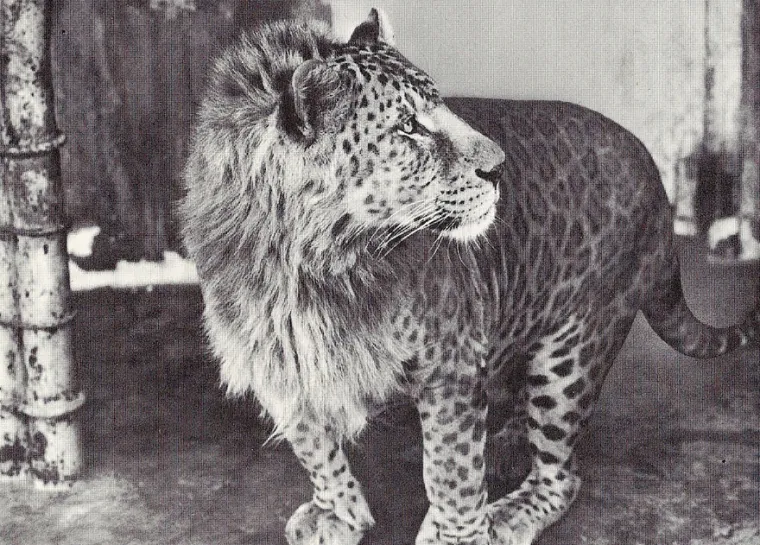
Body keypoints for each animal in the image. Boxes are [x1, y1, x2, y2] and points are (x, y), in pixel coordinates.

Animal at [180, 10, 760, 545]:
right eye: (408, 127)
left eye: (442, 108)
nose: (499, 168)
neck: (315, 265)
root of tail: (658, 180)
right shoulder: (279, 356)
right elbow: (313, 444)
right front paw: (338, 514)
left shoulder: (451, 362)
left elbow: (450, 467)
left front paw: (457, 533)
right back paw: (505, 439)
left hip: (573, 350)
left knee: (562, 473)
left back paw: (507, 509)